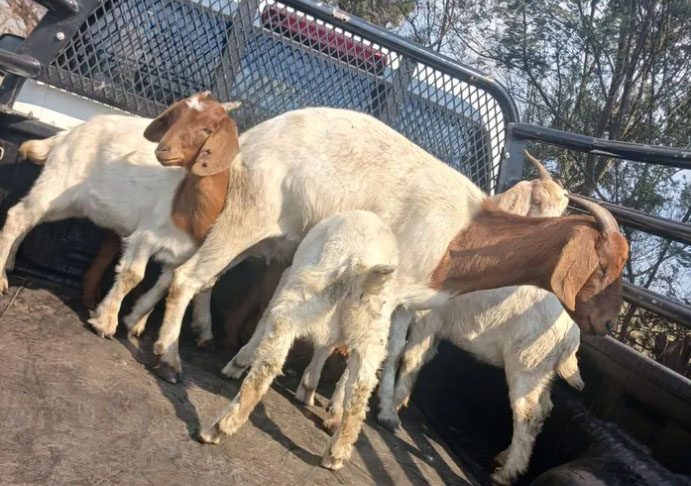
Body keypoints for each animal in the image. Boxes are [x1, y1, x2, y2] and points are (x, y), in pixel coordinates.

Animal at [0, 93, 240, 380]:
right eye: (174, 118)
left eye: (207, 129)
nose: (162, 150)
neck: (186, 205)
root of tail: (69, 132)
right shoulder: (145, 236)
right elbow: (133, 276)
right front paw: (105, 321)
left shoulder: (181, 255)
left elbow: (163, 287)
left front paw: (138, 324)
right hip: (57, 182)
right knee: (18, 216)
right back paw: (1, 278)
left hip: (67, 202)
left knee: (28, 220)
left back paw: (10, 263)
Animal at [147, 106, 627, 384]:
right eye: (603, 267)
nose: (605, 324)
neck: (463, 238)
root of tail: (252, 138)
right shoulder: (386, 288)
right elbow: (367, 348)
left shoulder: (404, 303)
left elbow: (388, 352)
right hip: (250, 213)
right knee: (189, 276)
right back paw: (168, 359)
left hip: (265, 228)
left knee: (203, 276)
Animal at [197, 210, 399, 471]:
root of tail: (359, 268)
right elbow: (325, 348)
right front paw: (308, 388)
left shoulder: (285, 280)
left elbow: (264, 318)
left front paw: (238, 363)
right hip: (371, 334)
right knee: (360, 391)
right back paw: (335, 454)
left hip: (298, 300)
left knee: (268, 365)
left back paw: (218, 427)